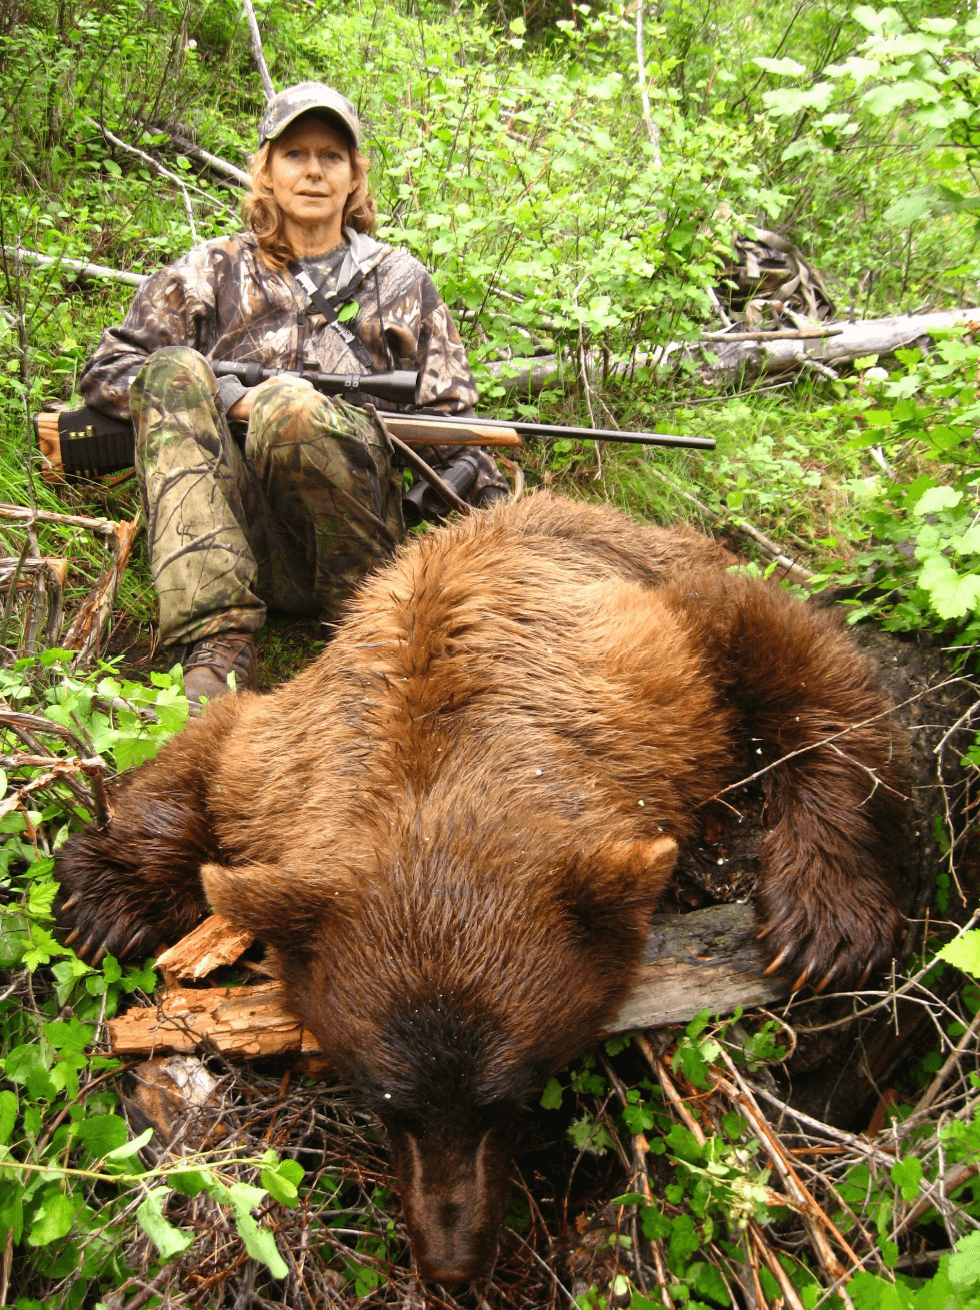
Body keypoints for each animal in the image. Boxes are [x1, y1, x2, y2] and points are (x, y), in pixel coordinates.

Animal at [55, 492, 911, 1278]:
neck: (439, 772)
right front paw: (102, 897)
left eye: (513, 1098)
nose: (451, 1263)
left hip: (679, 585)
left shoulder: (651, 711)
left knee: (801, 657)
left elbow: (820, 677)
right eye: (384, 1101)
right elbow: (218, 738)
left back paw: (824, 913)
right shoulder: (288, 762)